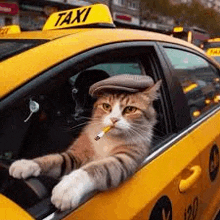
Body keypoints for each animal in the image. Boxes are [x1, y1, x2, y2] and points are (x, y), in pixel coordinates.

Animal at [9, 80, 161, 211]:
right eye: (106, 106)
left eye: (130, 109)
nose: (113, 119)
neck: (109, 138)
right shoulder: (76, 154)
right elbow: (54, 159)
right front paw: (26, 164)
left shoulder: (125, 158)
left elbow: (95, 168)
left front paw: (67, 189)